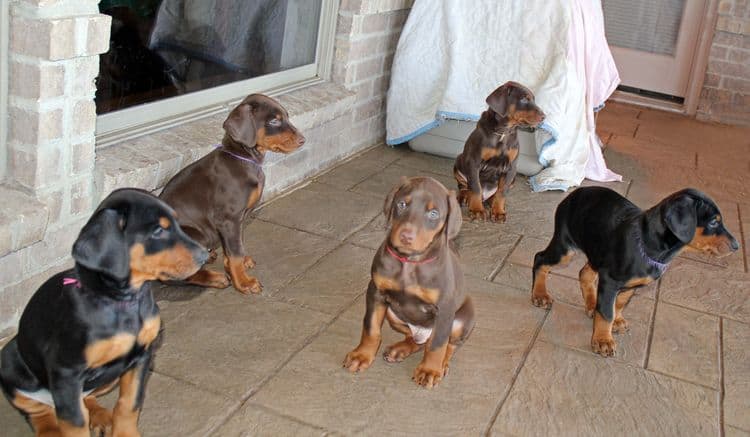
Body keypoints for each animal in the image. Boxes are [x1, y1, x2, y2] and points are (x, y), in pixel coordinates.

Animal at [0, 189, 209, 436]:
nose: (205, 256)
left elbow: (129, 403)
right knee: (40, 412)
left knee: (86, 400)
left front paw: (125, 433)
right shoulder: (66, 372)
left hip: (109, 378)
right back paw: (51, 429)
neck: (122, 301)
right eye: (158, 230)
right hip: (10, 363)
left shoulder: (142, 356)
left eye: (177, 223)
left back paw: (101, 417)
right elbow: (74, 423)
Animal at [161, 93, 306, 294]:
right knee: (176, 276)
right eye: (274, 121)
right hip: (194, 235)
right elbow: (235, 251)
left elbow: (235, 247)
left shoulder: (237, 220)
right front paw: (244, 282)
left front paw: (239, 265)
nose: (303, 140)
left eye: (286, 116)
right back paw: (216, 278)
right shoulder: (229, 219)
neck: (242, 158)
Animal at [346, 175, 476, 386]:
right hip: (393, 315)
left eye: (433, 213)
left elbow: (438, 344)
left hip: (462, 320)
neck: (409, 262)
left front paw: (430, 370)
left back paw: (442, 365)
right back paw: (400, 350)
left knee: (446, 344)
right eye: (402, 204)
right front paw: (362, 355)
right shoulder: (376, 292)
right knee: (416, 341)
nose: (406, 236)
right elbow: (371, 328)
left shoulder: (444, 308)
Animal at [452, 81, 548, 221]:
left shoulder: (511, 168)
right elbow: (476, 187)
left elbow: (502, 192)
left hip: (514, 177)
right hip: (460, 160)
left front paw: (498, 211)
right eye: (524, 99)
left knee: (496, 192)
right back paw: (464, 196)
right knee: (464, 186)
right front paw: (477, 210)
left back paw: (492, 202)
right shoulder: (474, 162)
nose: (544, 117)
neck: (503, 132)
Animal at [536, 186, 740, 356]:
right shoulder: (609, 281)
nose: (736, 246)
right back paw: (540, 295)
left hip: (596, 253)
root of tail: (574, 194)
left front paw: (616, 321)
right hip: (565, 249)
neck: (649, 247)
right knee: (540, 259)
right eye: (713, 222)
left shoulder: (631, 284)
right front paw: (603, 340)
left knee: (584, 273)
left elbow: (619, 303)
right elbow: (606, 312)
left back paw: (592, 305)